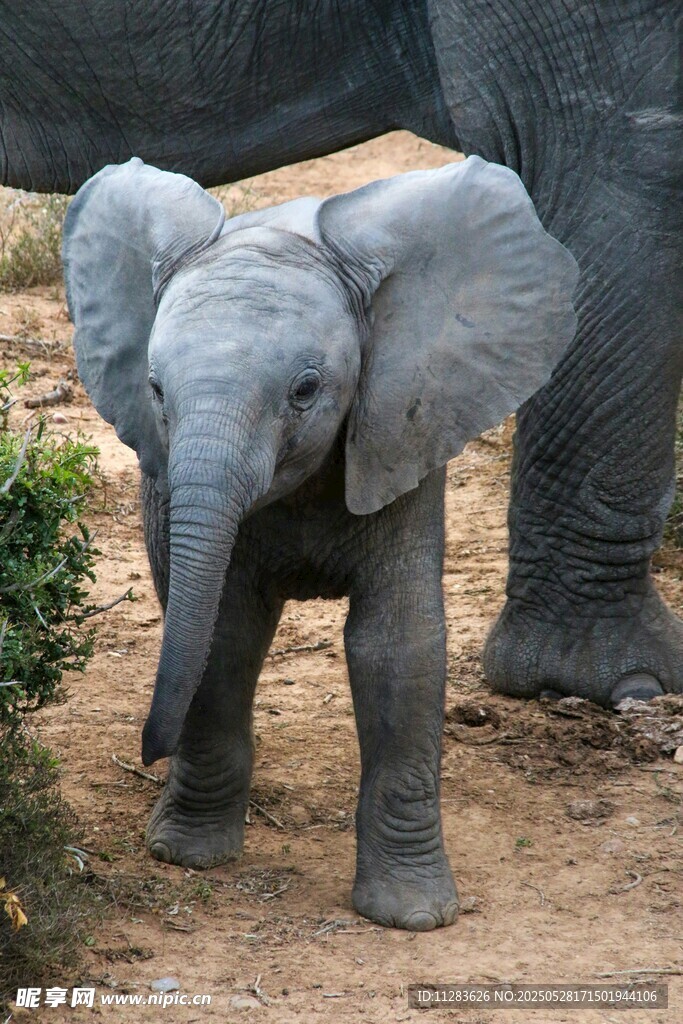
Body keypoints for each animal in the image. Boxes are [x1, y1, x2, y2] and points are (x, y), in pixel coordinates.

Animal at [63, 156, 577, 929]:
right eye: (154, 390)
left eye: (306, 390)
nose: (149, 751)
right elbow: (225, 633)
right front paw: (187, 856)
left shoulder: (401, 426)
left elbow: (396, 649)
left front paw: (411, 916)